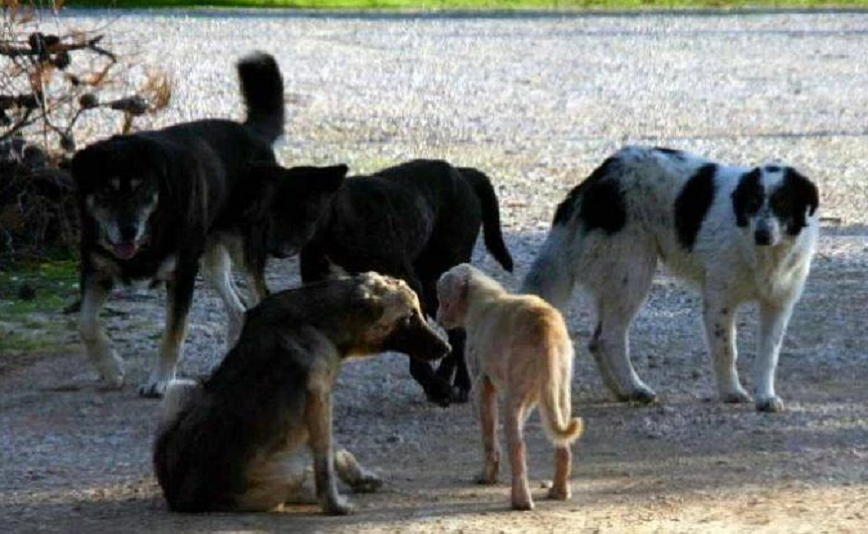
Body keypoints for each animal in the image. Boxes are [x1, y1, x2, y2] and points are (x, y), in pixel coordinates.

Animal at [69, 53, 346, 398]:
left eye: (142, 189)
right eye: (106, 191)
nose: (127, 230)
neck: (152, 231)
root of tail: (251, 133)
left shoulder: (182, 274)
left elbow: (173, 333)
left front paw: (160, 380)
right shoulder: (96, 270)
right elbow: (85, 323)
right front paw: (110, 369)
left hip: (243, 249)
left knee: (259, 296)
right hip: (210, 258)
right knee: (239, 309)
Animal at [153, 276, 450, 516]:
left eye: (419, 312)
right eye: (409, 317)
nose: (446, 348)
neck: (319, 321)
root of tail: (181, 498)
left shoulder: (320, 404)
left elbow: (336, 450)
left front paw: (359, 478)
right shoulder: (319, 400)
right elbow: (324, 462)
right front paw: (334, 505)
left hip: (181, 389)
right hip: (288, 470)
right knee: (289, 489)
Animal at [300, 159, 516, 406]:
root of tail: (461, 172)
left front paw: (436, 386)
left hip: (438, 281)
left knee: (459, 333)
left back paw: (460, 384)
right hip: (434, 291)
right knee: (453, 335)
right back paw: (445, 378)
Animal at [434, 266, 584, 512]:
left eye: (442, 300)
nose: (437, 318)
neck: (482, 296)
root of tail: (546, 328)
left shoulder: (482, 386)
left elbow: (489, 438)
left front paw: (487, 477)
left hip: (514, 400)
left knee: (518, 448)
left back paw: (520, 501)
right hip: (559, 394)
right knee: (562, 446)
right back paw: (559, 492)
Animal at [524, 147, 820, 414]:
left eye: (783, 204)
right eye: (753, 202)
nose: (762, 234)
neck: (764, 254)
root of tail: (598, 176)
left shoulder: (778, 305)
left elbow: (768, 355)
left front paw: (765, 397)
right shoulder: (719, 303)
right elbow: (727, 350)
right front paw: (731, 392)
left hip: (616, 279)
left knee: (596, 340)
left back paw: (622, 391)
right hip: (633, 272)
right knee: (610, 337)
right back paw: (635, 387)